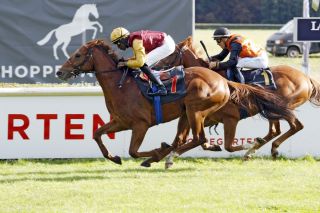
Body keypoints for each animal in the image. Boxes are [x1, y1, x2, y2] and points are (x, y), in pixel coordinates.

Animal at [158, 36, 320, 167]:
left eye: (171, 54)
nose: (156, 66)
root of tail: (306, 78)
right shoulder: (208, 116)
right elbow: (196, 138)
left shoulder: (221, 115)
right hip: (272, 111)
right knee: (276, 130)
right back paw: (255, 150)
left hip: (280, 108)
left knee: (295, 126)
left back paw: (270, 148)